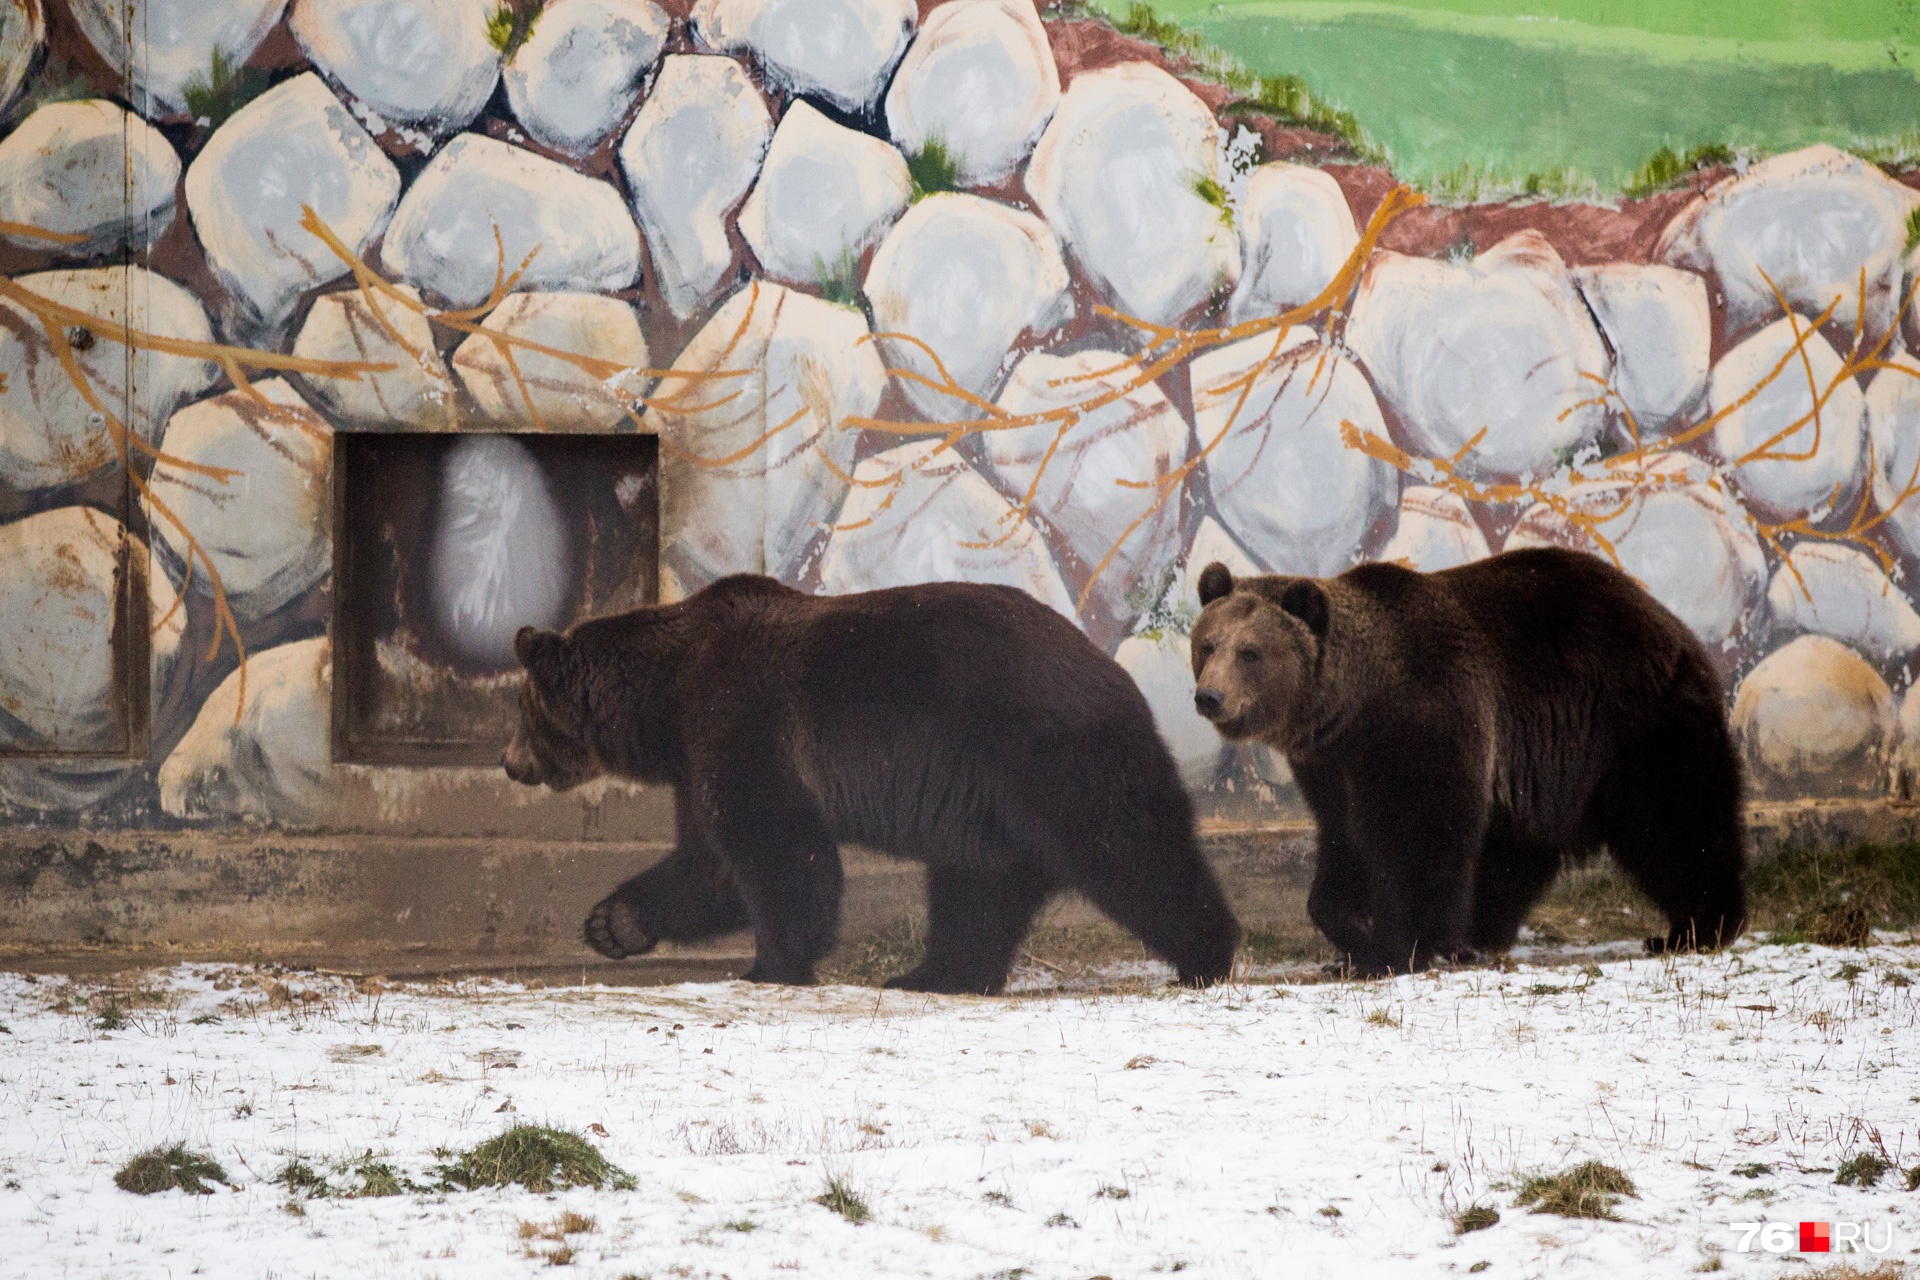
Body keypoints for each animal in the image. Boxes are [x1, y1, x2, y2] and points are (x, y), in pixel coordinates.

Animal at [503, 575, 1236, 997]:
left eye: (522, 709)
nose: (510, 763)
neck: (666, 693)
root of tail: (1120, 676)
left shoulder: (741, 718)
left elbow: (778, 850)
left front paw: (772, 963)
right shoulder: (698, 752)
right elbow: (709, 862)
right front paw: (612, 922)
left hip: (1048, 760)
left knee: (1133, 853)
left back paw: (1207, 953)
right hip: (984, 803)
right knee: (977, 891)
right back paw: (931, 974)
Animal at [1182, 545, 1743, 974]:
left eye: (1250, 652)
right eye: (1207, 644)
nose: (1209, 697)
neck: (1353, 704)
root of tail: (1673, 625)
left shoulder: (1425, 721)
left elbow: (1421, 834)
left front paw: (1393, 947)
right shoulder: (1333, 764)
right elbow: (1345, 840)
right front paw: (1352, 936)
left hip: (1631, 724)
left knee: (1675, 820)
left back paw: (1696, 927)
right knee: (1515, 849)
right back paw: (1477, 935)